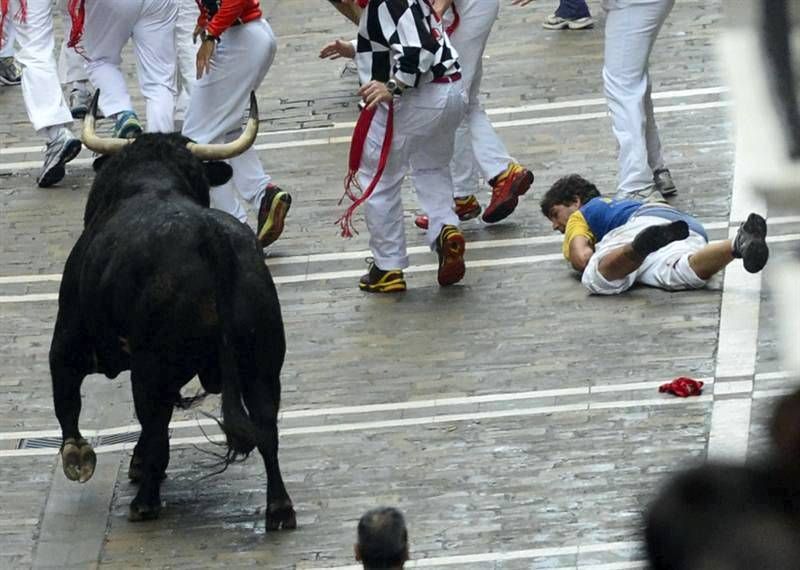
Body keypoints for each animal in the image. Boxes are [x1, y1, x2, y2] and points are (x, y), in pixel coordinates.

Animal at [50, 129, 296, 528]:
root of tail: (208, 235)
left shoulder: (68, 340)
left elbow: (67, 400)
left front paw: (78, 456)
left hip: (153, 365)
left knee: (153, 420)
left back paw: (145, 503)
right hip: (262, 363)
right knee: (266, 426)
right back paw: (279, 508)